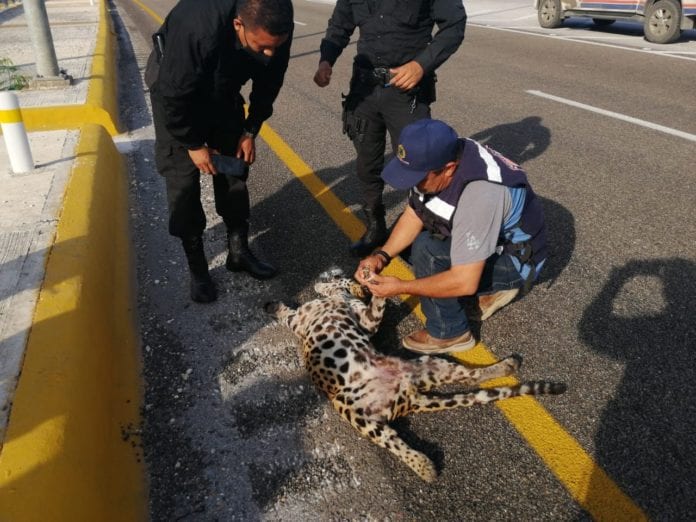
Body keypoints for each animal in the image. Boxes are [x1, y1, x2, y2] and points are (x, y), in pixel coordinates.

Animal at [264, 271, 566, 482]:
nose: (339, 277)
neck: (340, 300)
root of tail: (408, 395)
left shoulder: (365, 321)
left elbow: (365, 303)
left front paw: (372, 284)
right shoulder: (325, 320)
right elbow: (289, 314)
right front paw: (276, 305)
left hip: (431, 365)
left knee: (470, 377)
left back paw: (507, 367)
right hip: (357, 412)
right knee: (393, 439)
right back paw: (425, 466)